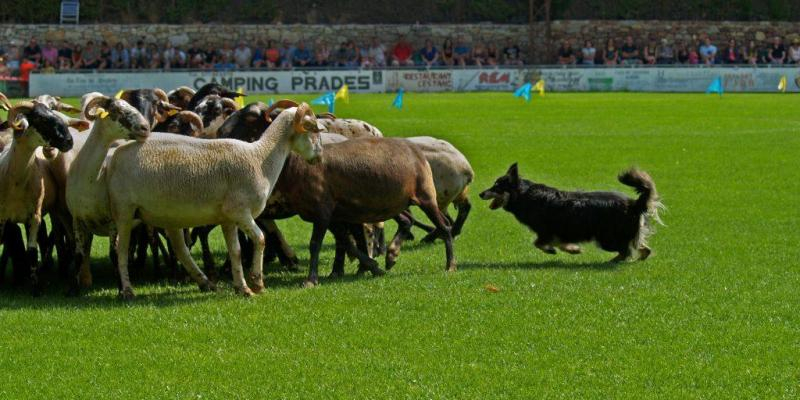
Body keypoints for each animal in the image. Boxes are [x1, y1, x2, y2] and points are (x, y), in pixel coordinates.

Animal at [0, 101, 74, 294]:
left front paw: (36, 288)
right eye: (41, 119)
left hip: (58, 211)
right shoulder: (2, 218)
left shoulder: (34, 217)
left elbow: (32, 251)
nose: (69, 141)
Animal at [64, 95, 152, 292]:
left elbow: (114, 254)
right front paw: (73, 290)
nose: (146, 128)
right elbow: (78, 255)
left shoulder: (112, 221)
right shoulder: (77, 220)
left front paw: (121, 288)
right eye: (117, 110)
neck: (90, 179)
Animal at [104, 103, 324, 296]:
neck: (260, 158)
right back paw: (127, 291)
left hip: (165, 215)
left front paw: (242, 288)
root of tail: (115, 155)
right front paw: (257, 283)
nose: (320, 157)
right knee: (121, 250)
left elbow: (235, 251)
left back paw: (206, 283)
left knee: (180, 250)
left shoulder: (228, 218)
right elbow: (260, 239)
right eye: (311, 130)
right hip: (124, 210)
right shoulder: (240, 211)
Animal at [482, 163, 664, 262]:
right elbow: (558, 243)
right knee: (641, 247)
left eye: (497, 187)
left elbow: (538, 243)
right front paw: (572, 249)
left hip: (607, 239)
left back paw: (614, 261)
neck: (525, 195)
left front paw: (552, 250)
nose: (480, 194)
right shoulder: (558, 232)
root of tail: (634, 204)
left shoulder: (546, 231)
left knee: (626, 250)